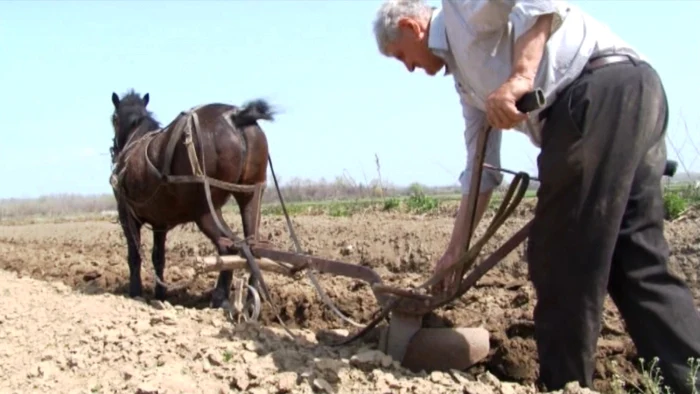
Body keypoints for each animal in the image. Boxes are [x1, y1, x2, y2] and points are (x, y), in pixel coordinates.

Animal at [108, 91, 274, 310]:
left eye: (114, 119)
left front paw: (135, 293)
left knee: (228, 246)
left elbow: (134, 255)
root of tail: (236, 117)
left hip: (204, 210)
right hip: (251, 196)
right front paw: (160, 295)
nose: (113, 149)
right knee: (252, 247)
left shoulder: (127, 215)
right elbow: (158, 258)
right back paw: (251, 301)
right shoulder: (160, 223)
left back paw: (219, 298)